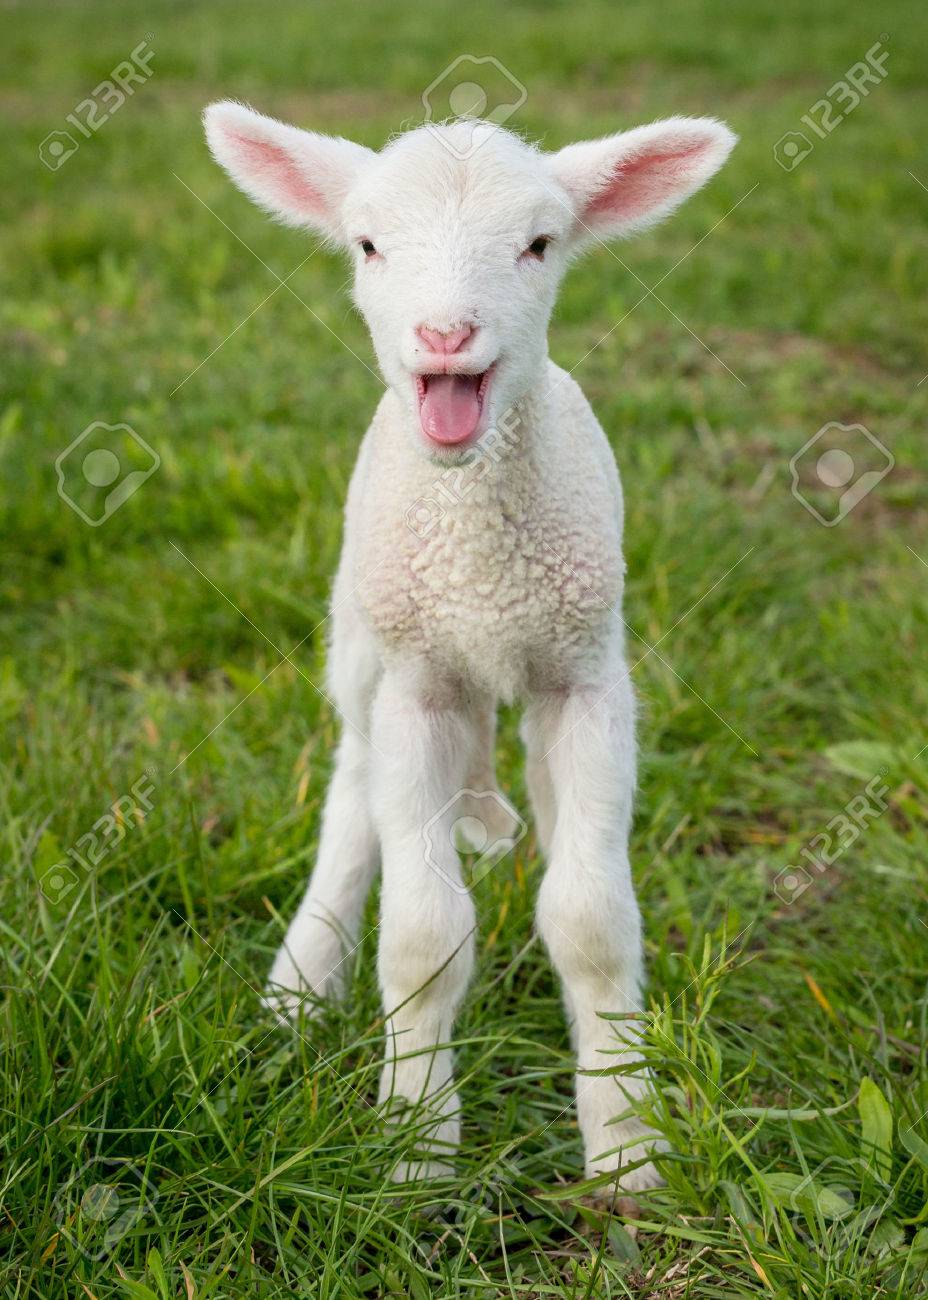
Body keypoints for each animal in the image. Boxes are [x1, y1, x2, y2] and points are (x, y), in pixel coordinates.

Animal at [203, 101, 736, 1193]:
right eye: (368, 244)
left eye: (539, 245)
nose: (445, 336)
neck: (482, 573)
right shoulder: (419, 690)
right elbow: (421, 934)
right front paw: (414, 1146)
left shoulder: (586, 683)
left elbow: (590, 921)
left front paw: (626, 1143)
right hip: (363, 648)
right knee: (351, 792)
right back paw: (299, 988)